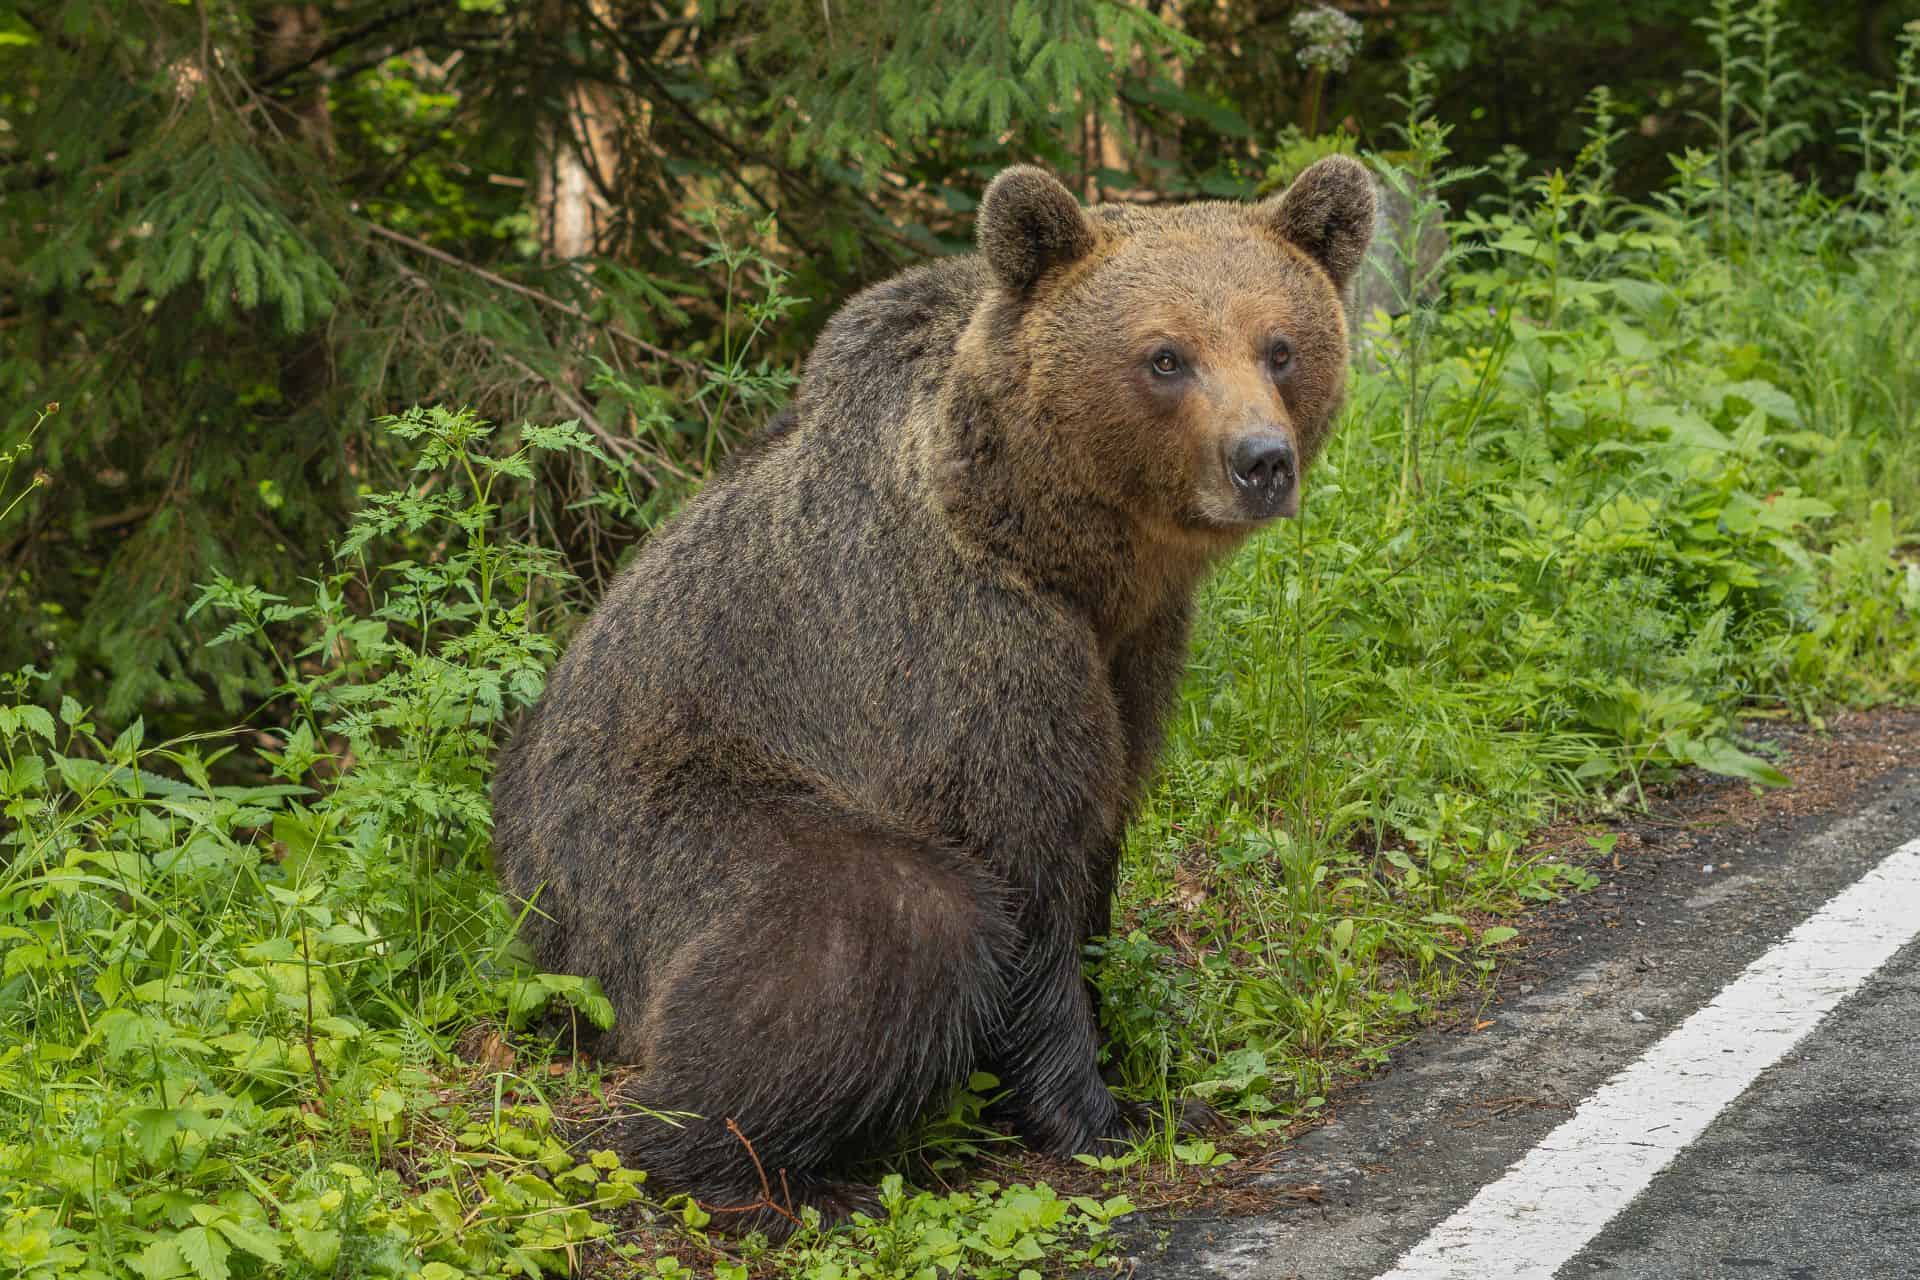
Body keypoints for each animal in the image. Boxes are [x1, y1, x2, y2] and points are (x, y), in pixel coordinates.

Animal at [487, 155, 1374, 1235]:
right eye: (1166, 356)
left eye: (1280, 345)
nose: (1260, 461)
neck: (1065, 551)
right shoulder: (961, 651)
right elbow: (1022, 873)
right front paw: (1096, 1113)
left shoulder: (1135, 657)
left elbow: (1098, 842)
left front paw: (1148, 1070)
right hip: (647, 838)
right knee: (884, 920)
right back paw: (765, 1177)